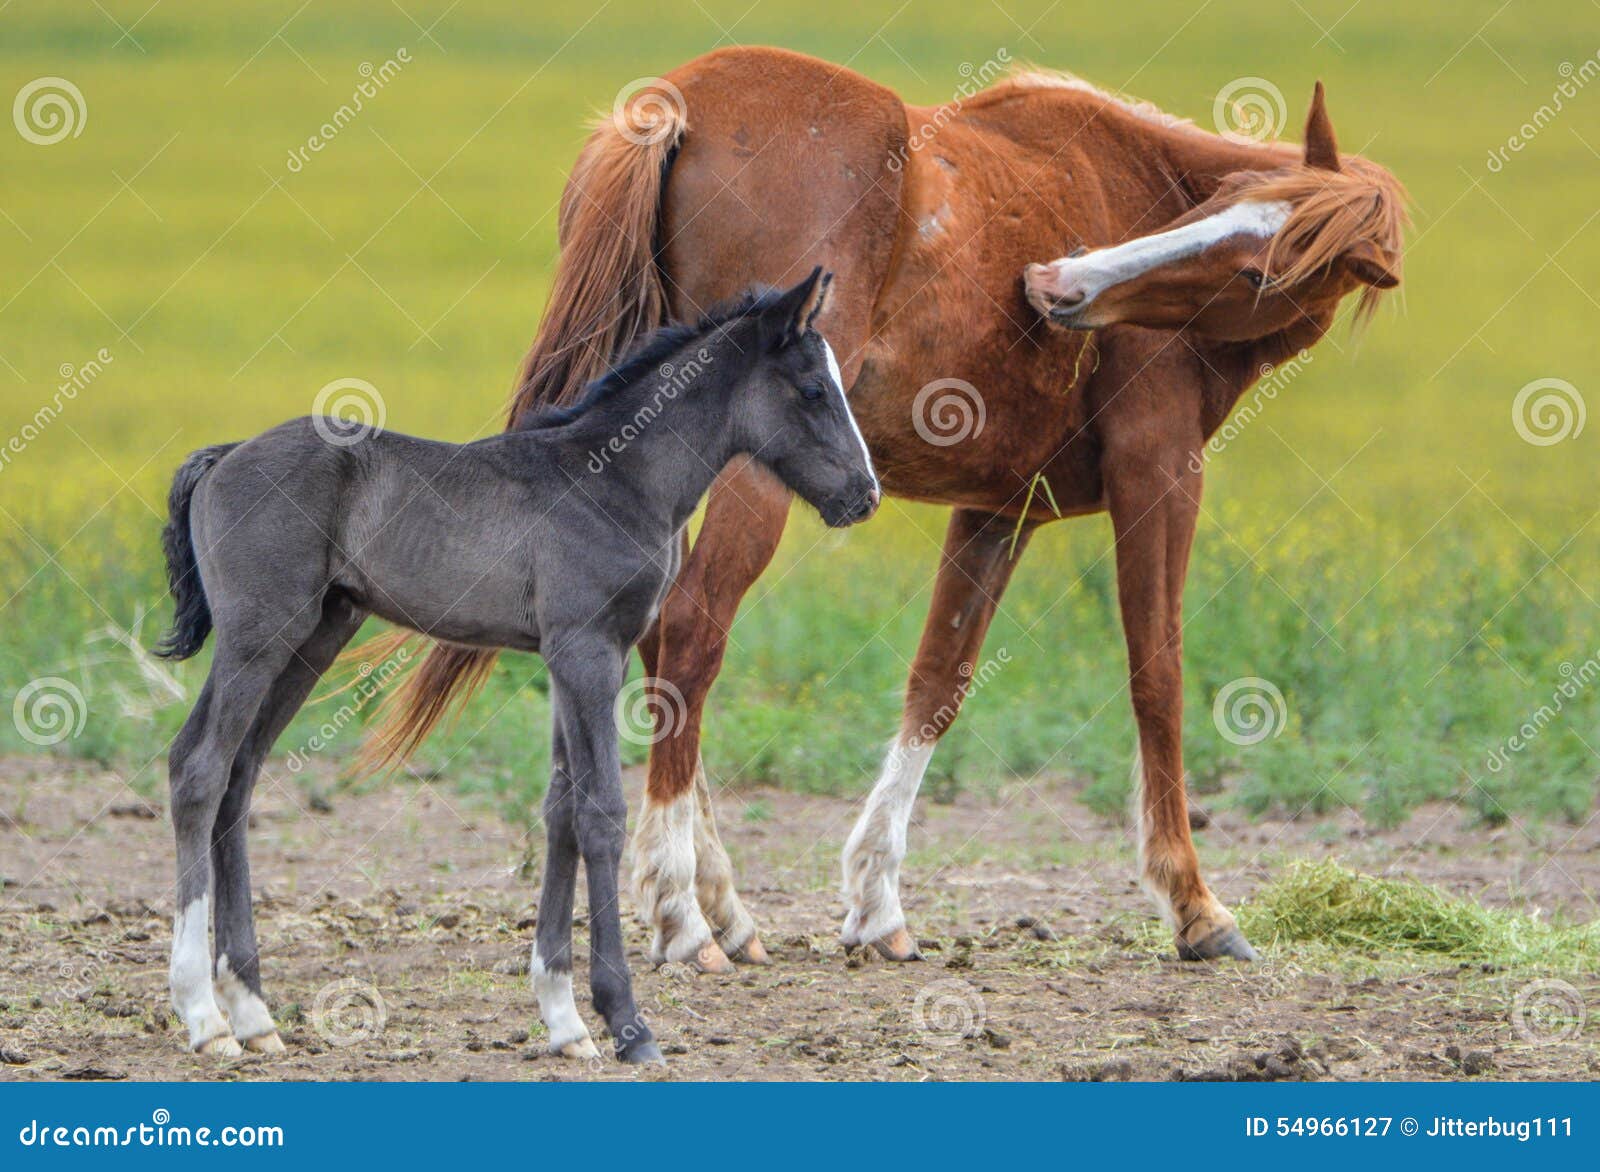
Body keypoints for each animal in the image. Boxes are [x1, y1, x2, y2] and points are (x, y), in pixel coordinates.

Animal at [156, 272, 883, 1063]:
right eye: (813, 388)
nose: (865, 495)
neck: (618, 477)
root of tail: (224, 456)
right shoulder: (586, 650)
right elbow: (601, 812)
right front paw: (627, 1022)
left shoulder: (575, 655)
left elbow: (560, 809)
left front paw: (564, 1019)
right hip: (259, 636)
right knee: (200, 768)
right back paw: (204, 1017)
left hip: (316, 636)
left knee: (240, 775)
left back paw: (253, 1012)